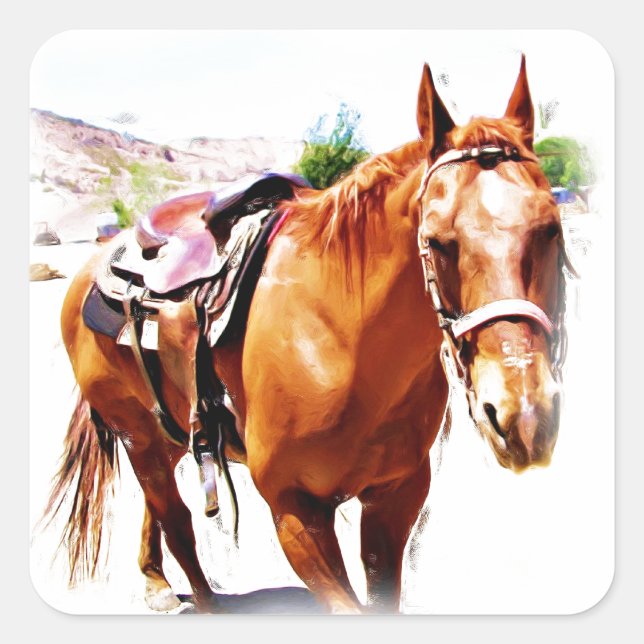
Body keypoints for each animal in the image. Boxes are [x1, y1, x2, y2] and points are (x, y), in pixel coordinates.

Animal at [42, 55, 568, 614]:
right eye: (436, 241)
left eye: (552, 228)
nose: (522, 417)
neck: (344, 343)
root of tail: (96, 261)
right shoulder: (295, 512)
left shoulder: (395, 497)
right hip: (136, 435)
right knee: (177, 520)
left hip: (169, 431)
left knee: (158, 508)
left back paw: (155, 580)